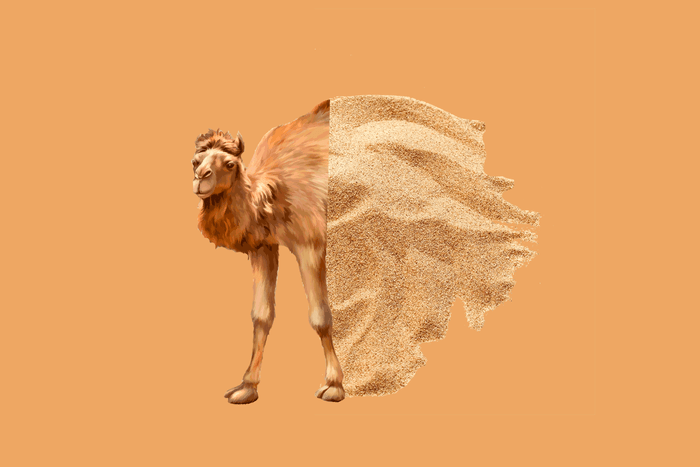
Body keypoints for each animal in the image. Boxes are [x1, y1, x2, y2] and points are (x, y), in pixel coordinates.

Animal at [191, 99, 344, 404]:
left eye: (229, 164)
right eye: (195, 161)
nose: (201, 178)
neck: (271, 197)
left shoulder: (310, 243)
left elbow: (320, 317)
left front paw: (334, 385)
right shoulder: (264, 246)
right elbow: (261, 315)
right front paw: (246, 387)